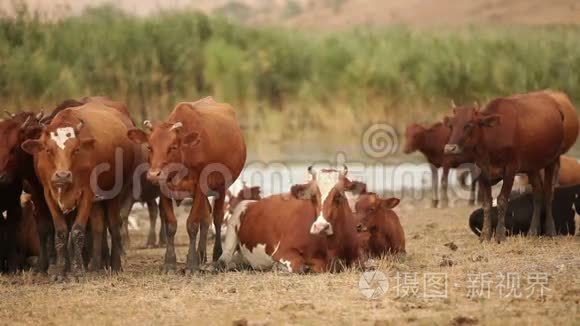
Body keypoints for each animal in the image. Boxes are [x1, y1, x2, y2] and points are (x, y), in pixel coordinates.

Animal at [21, 102, 138, 278]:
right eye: (48, 150)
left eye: (76, 149)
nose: (63, 175)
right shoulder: (48, 194)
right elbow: (61, 232)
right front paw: (60, 271)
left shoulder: (87, 195)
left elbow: (77, 231)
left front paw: (77, 271)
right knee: (98, 226)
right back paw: (95, 266)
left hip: (113, 195)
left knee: (113, 225)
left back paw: (115, 265)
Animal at [125, 96, 246, 272]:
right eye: (149, 147)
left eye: (173, 147)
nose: (154, 174)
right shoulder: (164, 190)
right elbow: (171, 225)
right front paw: (170, 262)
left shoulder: (200, 188)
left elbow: (192, 224)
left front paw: (191, 264)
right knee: (206, 218)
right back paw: (201, 254)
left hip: (221, 187)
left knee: (217, 218)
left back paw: (216, 254)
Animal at [218, 166, 368, 272]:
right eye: (313, 197)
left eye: (338, 196)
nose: (320, 227)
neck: (331, 246)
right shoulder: (282, 252)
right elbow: (300, 266)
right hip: (231, 230)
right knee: (224, 259)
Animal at [444, 91, 576, 242]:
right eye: (451, 125)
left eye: (469, 124)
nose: (449, 148)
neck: (494, 136)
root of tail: (557, 106)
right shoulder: (482, 171)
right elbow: (487, 203)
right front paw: (485, 235)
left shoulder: (510, 170)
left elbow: (502, 200)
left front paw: (500, 235)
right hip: (532, 167)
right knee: (537, 194)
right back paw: (532, 231)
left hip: (552, 161)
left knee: (548, 194)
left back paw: (550, 231)